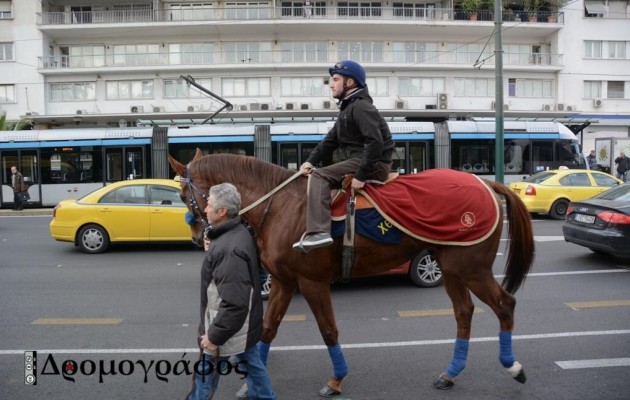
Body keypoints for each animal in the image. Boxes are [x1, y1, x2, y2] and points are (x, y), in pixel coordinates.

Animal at [168, 151, 532, 396]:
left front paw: (336, 379)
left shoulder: (312, 283)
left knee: (505, 304)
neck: (282, 205)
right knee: (464, 312)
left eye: (184, 196)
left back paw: (513, 366)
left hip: (471, 269)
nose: (196, 237)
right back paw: (450, 373)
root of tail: (486, 182)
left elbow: (328, 330)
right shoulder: (285, 283)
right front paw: (252, 383)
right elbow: (268, 329)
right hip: (454, 269)